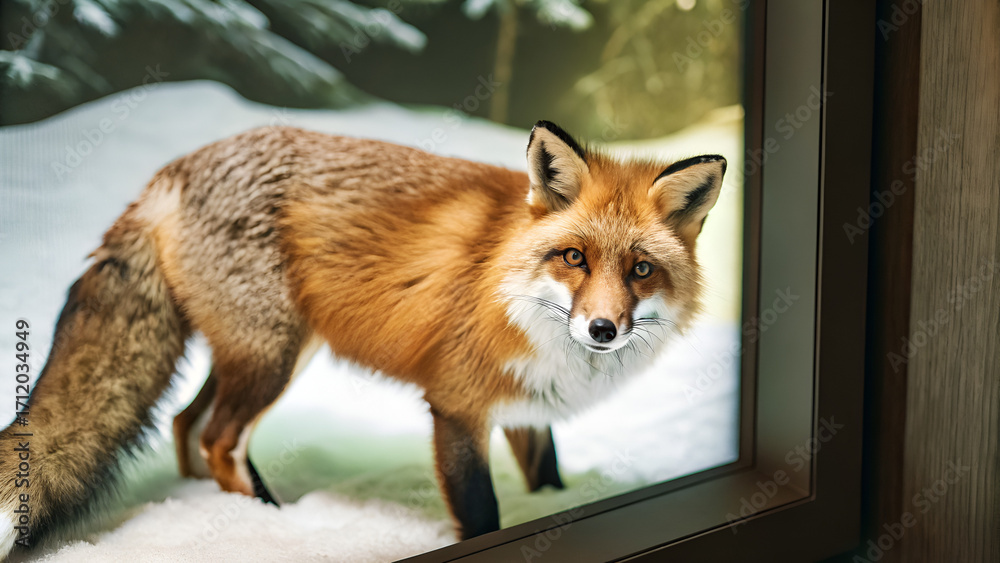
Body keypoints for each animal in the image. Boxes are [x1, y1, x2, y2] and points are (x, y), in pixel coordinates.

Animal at [0, 120, 726, 555]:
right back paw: (271, 524)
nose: (602, 329)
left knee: (184, 422)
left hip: (252, 354)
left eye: (641, 270)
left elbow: (545, 479)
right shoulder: (456, 406)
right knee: (217, 437)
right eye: (574, 257)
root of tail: (176, 166)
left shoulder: (527, 406)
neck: (508, 289)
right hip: (275, 357)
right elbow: (482, 512)